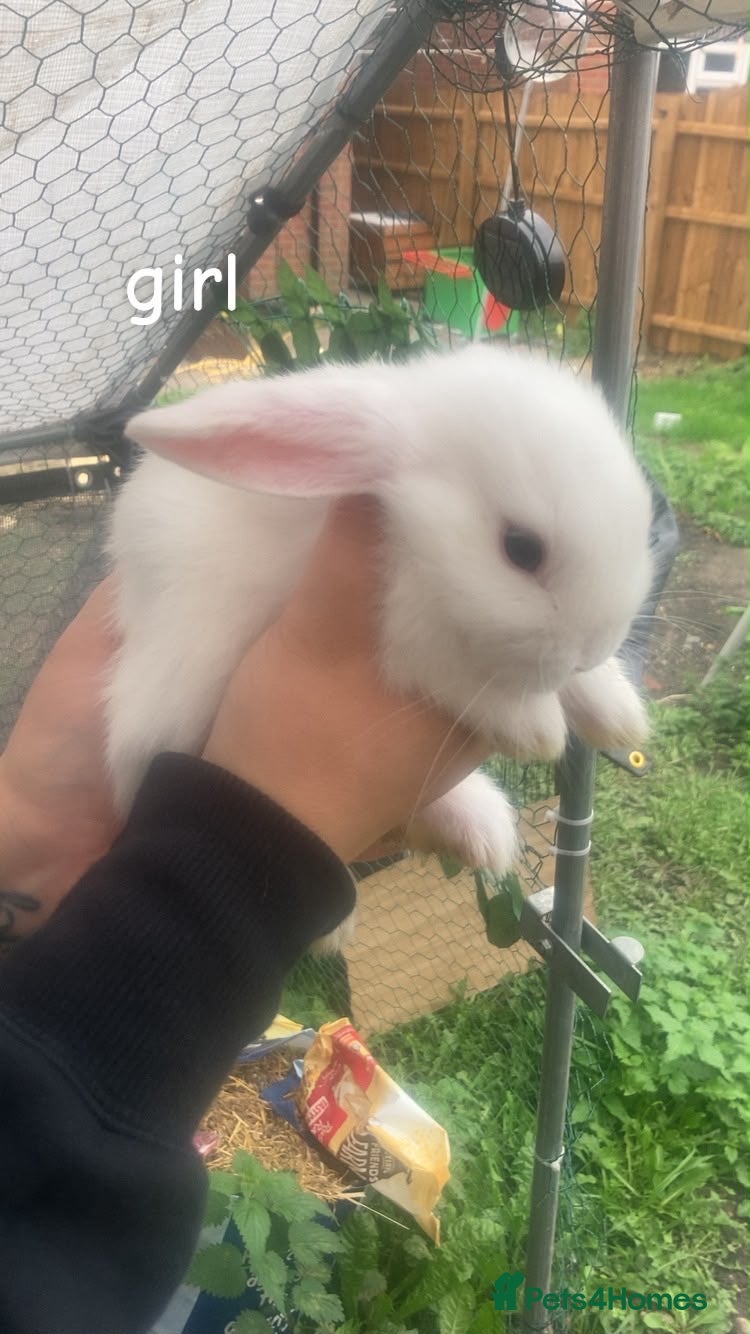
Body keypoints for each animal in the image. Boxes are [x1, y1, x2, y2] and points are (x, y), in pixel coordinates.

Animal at [105, 344, 653, 951]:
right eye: (521, 548)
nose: (594, 646)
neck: (409, 538)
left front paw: (618, 714)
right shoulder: (408, 643)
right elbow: (463, 678)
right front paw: (534, 728)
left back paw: (480, 832)